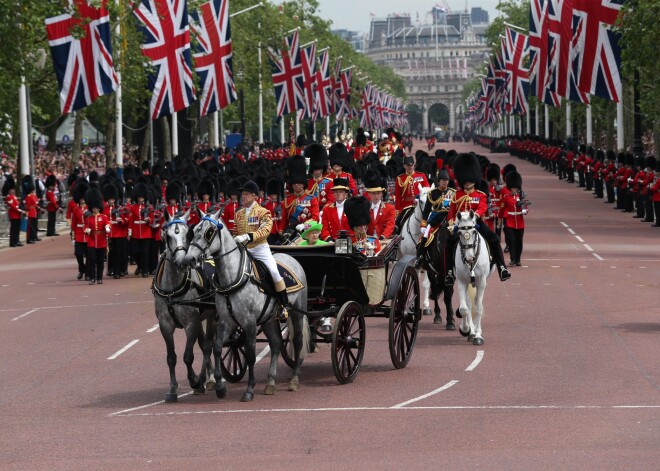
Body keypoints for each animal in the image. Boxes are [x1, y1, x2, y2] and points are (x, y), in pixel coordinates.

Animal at [184, 211, 310, 402]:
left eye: (209, 232)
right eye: (194, 230)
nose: (189, 259)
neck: (232, 278)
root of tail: (291, 258)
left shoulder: (249, 322)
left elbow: (250, 355)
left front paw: (249, 389)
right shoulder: (226, 321)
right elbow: (217, 347)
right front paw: (220, 387)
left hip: (297, 313)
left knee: (297, 342)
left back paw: (294, 379)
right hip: (268, 319)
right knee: (275, 343)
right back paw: (271, 383)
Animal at [456, 211, 492, 346]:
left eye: (474, 232)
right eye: (459, 233)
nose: (470, 257)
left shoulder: (481, 282)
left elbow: (478, 309)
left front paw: (478, 335)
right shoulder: (461, 282)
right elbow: (464, 309)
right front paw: (466, 329)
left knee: (476, 303)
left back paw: (476, 330)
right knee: (469, 305)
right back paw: (470, 331)